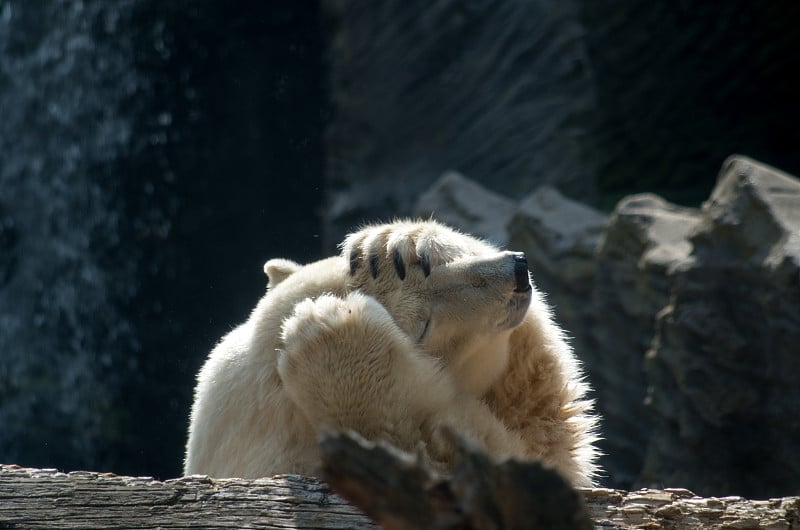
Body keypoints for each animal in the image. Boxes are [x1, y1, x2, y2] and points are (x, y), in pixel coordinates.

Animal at [184, 220, 596, 486]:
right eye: (423, 326)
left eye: (424, 267)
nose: (517, 271)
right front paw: (337, 339)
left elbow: (541, 421)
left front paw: (392, 240)